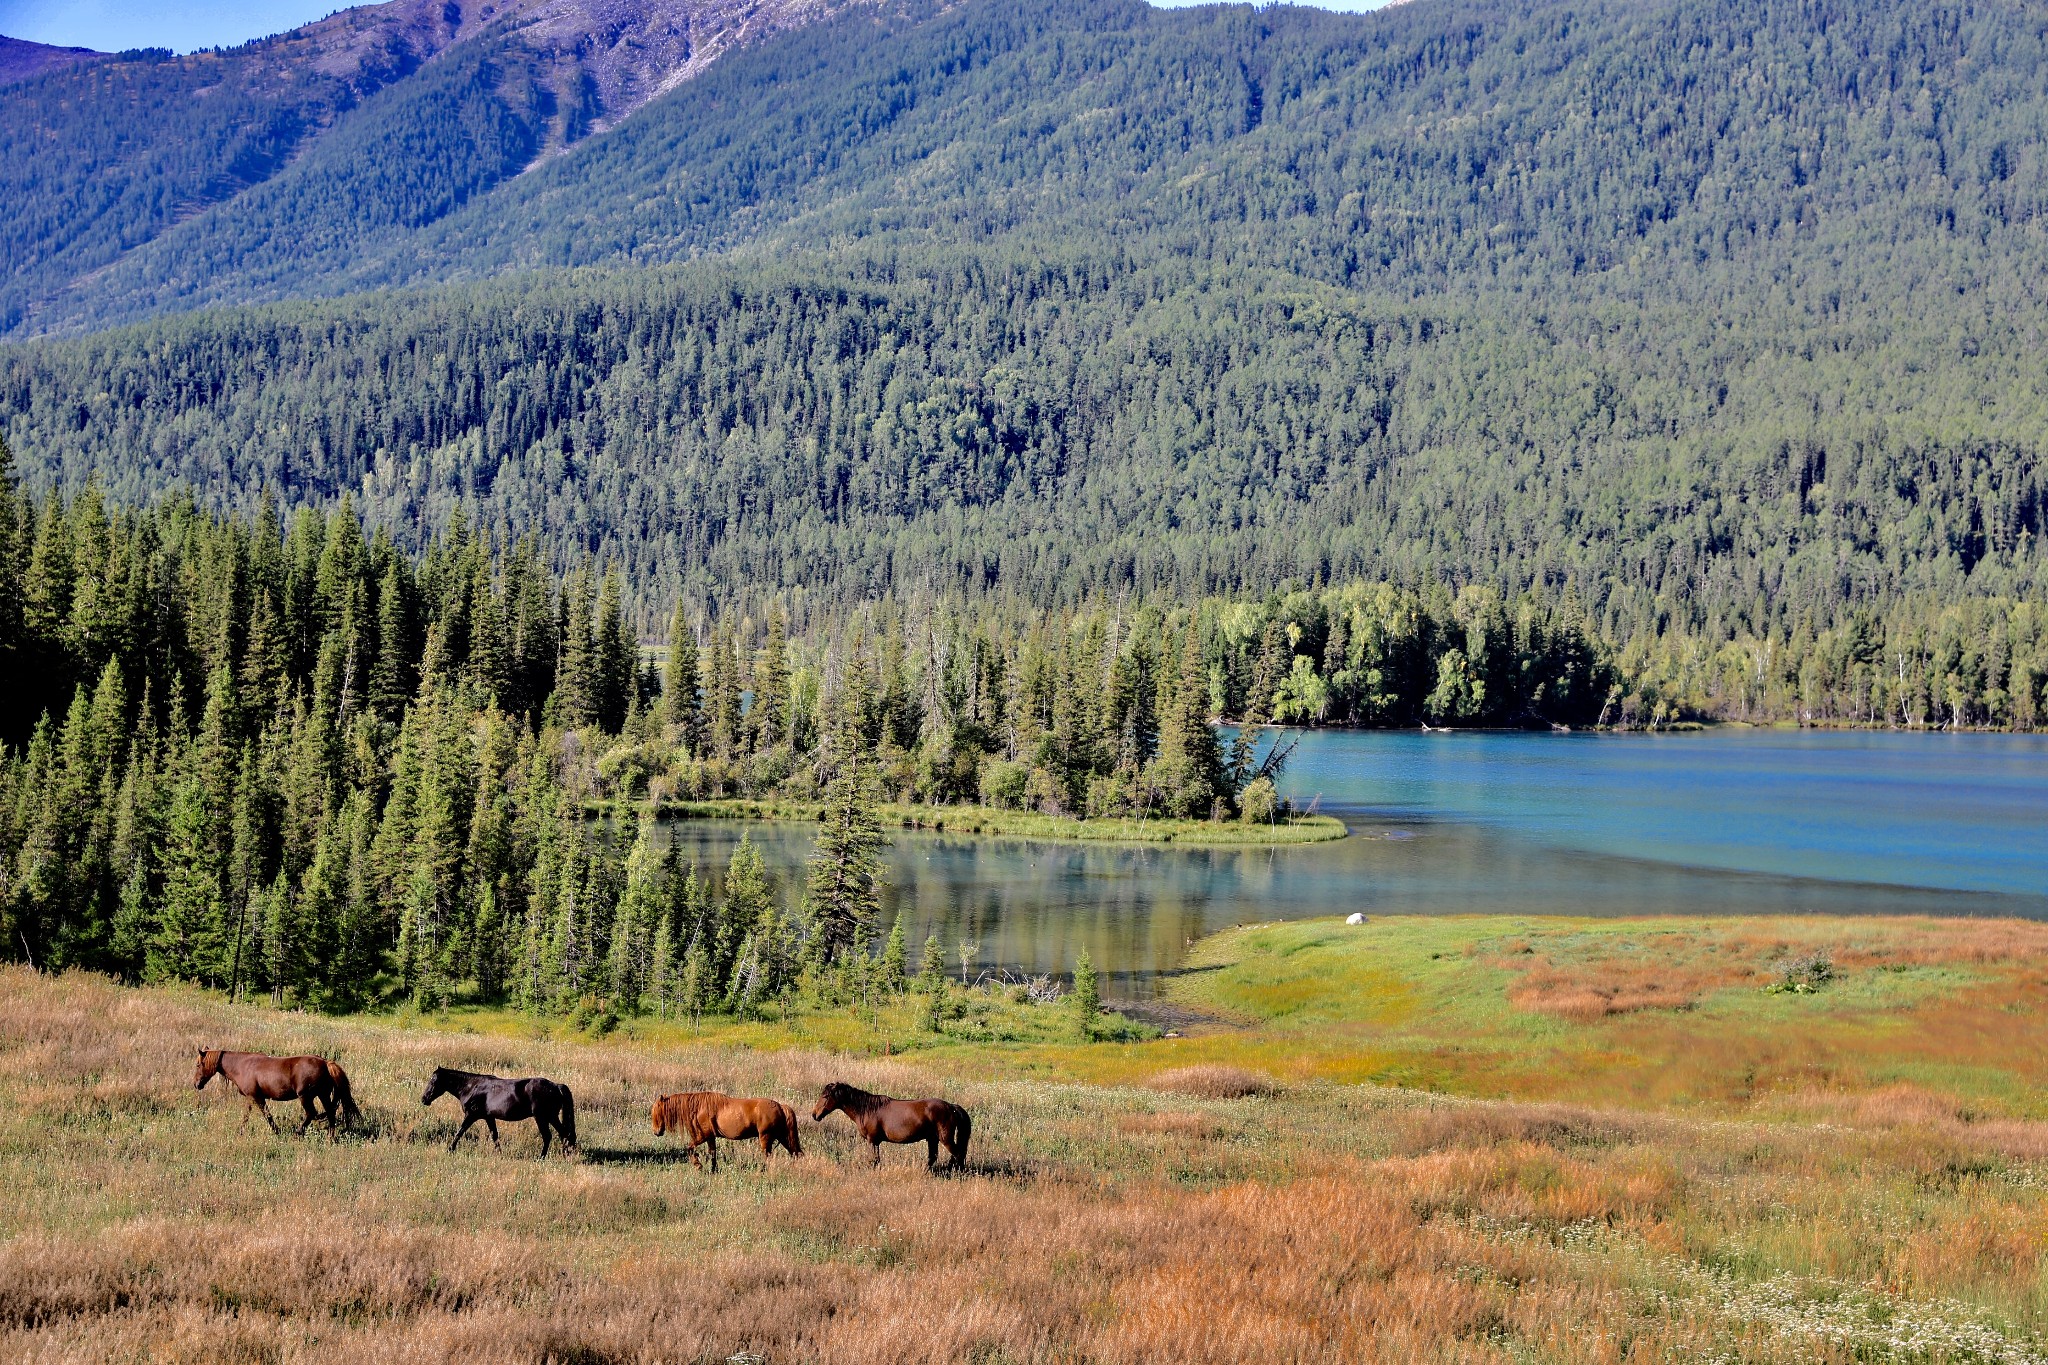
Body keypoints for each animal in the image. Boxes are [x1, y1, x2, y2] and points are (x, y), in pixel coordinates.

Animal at [193, 1055, 362, 1137]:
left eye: (198, 1064)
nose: (196, 1084)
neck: (242, 1065)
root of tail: (326, 1063)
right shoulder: (252, 1097)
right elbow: (249, 1115)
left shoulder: (256, 1097)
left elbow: (266, 1115)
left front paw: (276, 1131)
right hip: (323, 1095)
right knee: (330, 1113)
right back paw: (330, 1137)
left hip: (305, 1096)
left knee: (311, 1113)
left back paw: (298, 1133)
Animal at [417, 1064, 573, 1162]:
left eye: (433, 1081)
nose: (424, 1099)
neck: (472, 1087)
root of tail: (556, 1086)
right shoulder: (489, 1118)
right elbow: (494, 1136)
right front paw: (499, 1154)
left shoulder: (471, 1116)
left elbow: (460, 1132)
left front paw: (450, 1149)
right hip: (550, 1117)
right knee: (563, 1134)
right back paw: (565, 1154)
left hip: (543, 1117)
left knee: (549, 1136)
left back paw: (543, 1157)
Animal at [659, 1088, 811, 1178]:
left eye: (658, 1109)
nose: (657, 1131)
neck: (700, 1107)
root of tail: (781, 1106)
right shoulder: (710, 1137)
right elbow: (712, 1153)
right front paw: (712, 1170)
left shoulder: (704, 1136)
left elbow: (690, 1148)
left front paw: (698, 1165)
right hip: (782, 1137)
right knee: (796, 1153)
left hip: (766, 1137)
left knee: (768, 1156)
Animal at [811, 1080, 970, 1178]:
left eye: (825, 1096)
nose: (814, 1115)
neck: (867, 1109)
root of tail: (951, 1106)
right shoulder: (875, 1142)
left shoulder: (872, 1140)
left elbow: (874, 1160)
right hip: (932, 1139)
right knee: (933, 1158)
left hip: (945, 1139)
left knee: (958, 1155)